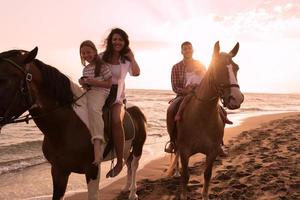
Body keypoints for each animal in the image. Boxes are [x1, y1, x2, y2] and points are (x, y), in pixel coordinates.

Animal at [0, 48, 146, 200]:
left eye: (4, 79)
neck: (66, 127)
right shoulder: (59, 171)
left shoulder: (93, 170)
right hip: (125, 148)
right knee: (128, 163)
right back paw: (126, 188)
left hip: (138, 147)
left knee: (134, 165)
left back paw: (133, 193)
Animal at [166, 41, 244, 199]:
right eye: (218, 68)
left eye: (236, 68)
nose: (237, 99)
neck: (202, 117)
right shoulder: (185, 151)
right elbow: (185, 176)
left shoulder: (212, 151)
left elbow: (207, 175)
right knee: (175, 154)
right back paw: (175, 171)